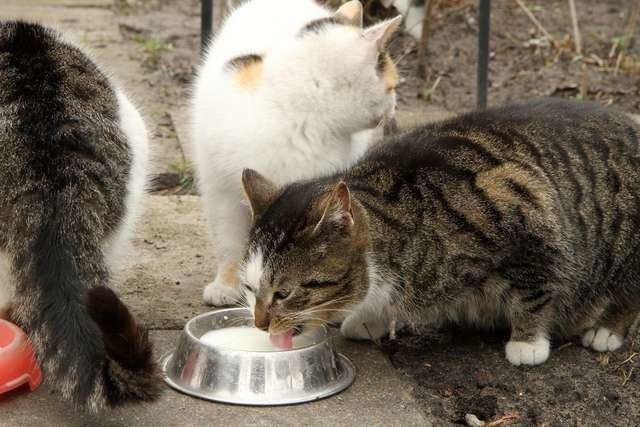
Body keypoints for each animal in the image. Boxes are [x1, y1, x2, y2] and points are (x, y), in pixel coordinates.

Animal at [190, 0, 400, 308]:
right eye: (393, 86)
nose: (395, 106)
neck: (302, 107)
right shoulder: (220, 188)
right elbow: (228, 239)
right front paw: (227, 285)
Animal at [239, 98, 640, 366]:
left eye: (284, 293)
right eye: (249, 288)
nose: (259, 323)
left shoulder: (525, 205)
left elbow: (535, 290)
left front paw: (528, 343)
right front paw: (370, 319)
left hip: (622, 246)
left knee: (627, 292)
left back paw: (606, 330)